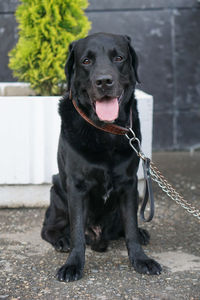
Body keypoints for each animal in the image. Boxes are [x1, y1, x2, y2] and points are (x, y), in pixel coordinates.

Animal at [41, 32, 162, 282]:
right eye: (86, 61)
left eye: (119, 58)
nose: (104, 81)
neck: (105, 132)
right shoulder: (76, 186)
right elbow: (77, 231)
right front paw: (73, 265)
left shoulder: (129, 185)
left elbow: (131, 227)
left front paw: (141, 259)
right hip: (57, 191)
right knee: (48, 228)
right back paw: (61, 240)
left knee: (125, 228)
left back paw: (142, 233)